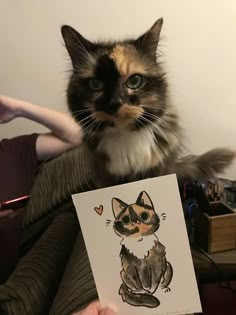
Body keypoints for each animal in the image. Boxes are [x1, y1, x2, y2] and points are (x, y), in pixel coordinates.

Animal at [60, 17, 234, 188]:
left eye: (135, 81)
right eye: (96, 84)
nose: (114, 103)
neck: (125, 136)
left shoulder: (160, 170)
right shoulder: (104, 176)